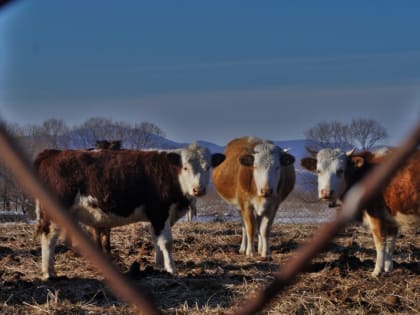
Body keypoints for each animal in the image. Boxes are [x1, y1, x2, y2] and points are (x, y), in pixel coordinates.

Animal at [35, 143, 226, 278]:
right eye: (185, 167)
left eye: (208, 167)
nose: (198, 189)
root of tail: (52, 153)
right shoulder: (159, 211)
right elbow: (166, 242)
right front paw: (171, 268)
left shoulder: (158, 217)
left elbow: (157, 240)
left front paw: (159, 265)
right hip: (54, 213)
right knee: (49, 238)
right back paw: (48, 272)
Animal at [300, 148, 418, 276]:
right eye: (318, 171)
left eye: (340, 171)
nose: (326, 193)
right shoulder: (391, 219)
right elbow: (391, 243)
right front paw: (388, 268)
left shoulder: (375, 213)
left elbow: (380, 242)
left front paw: (377, 271)